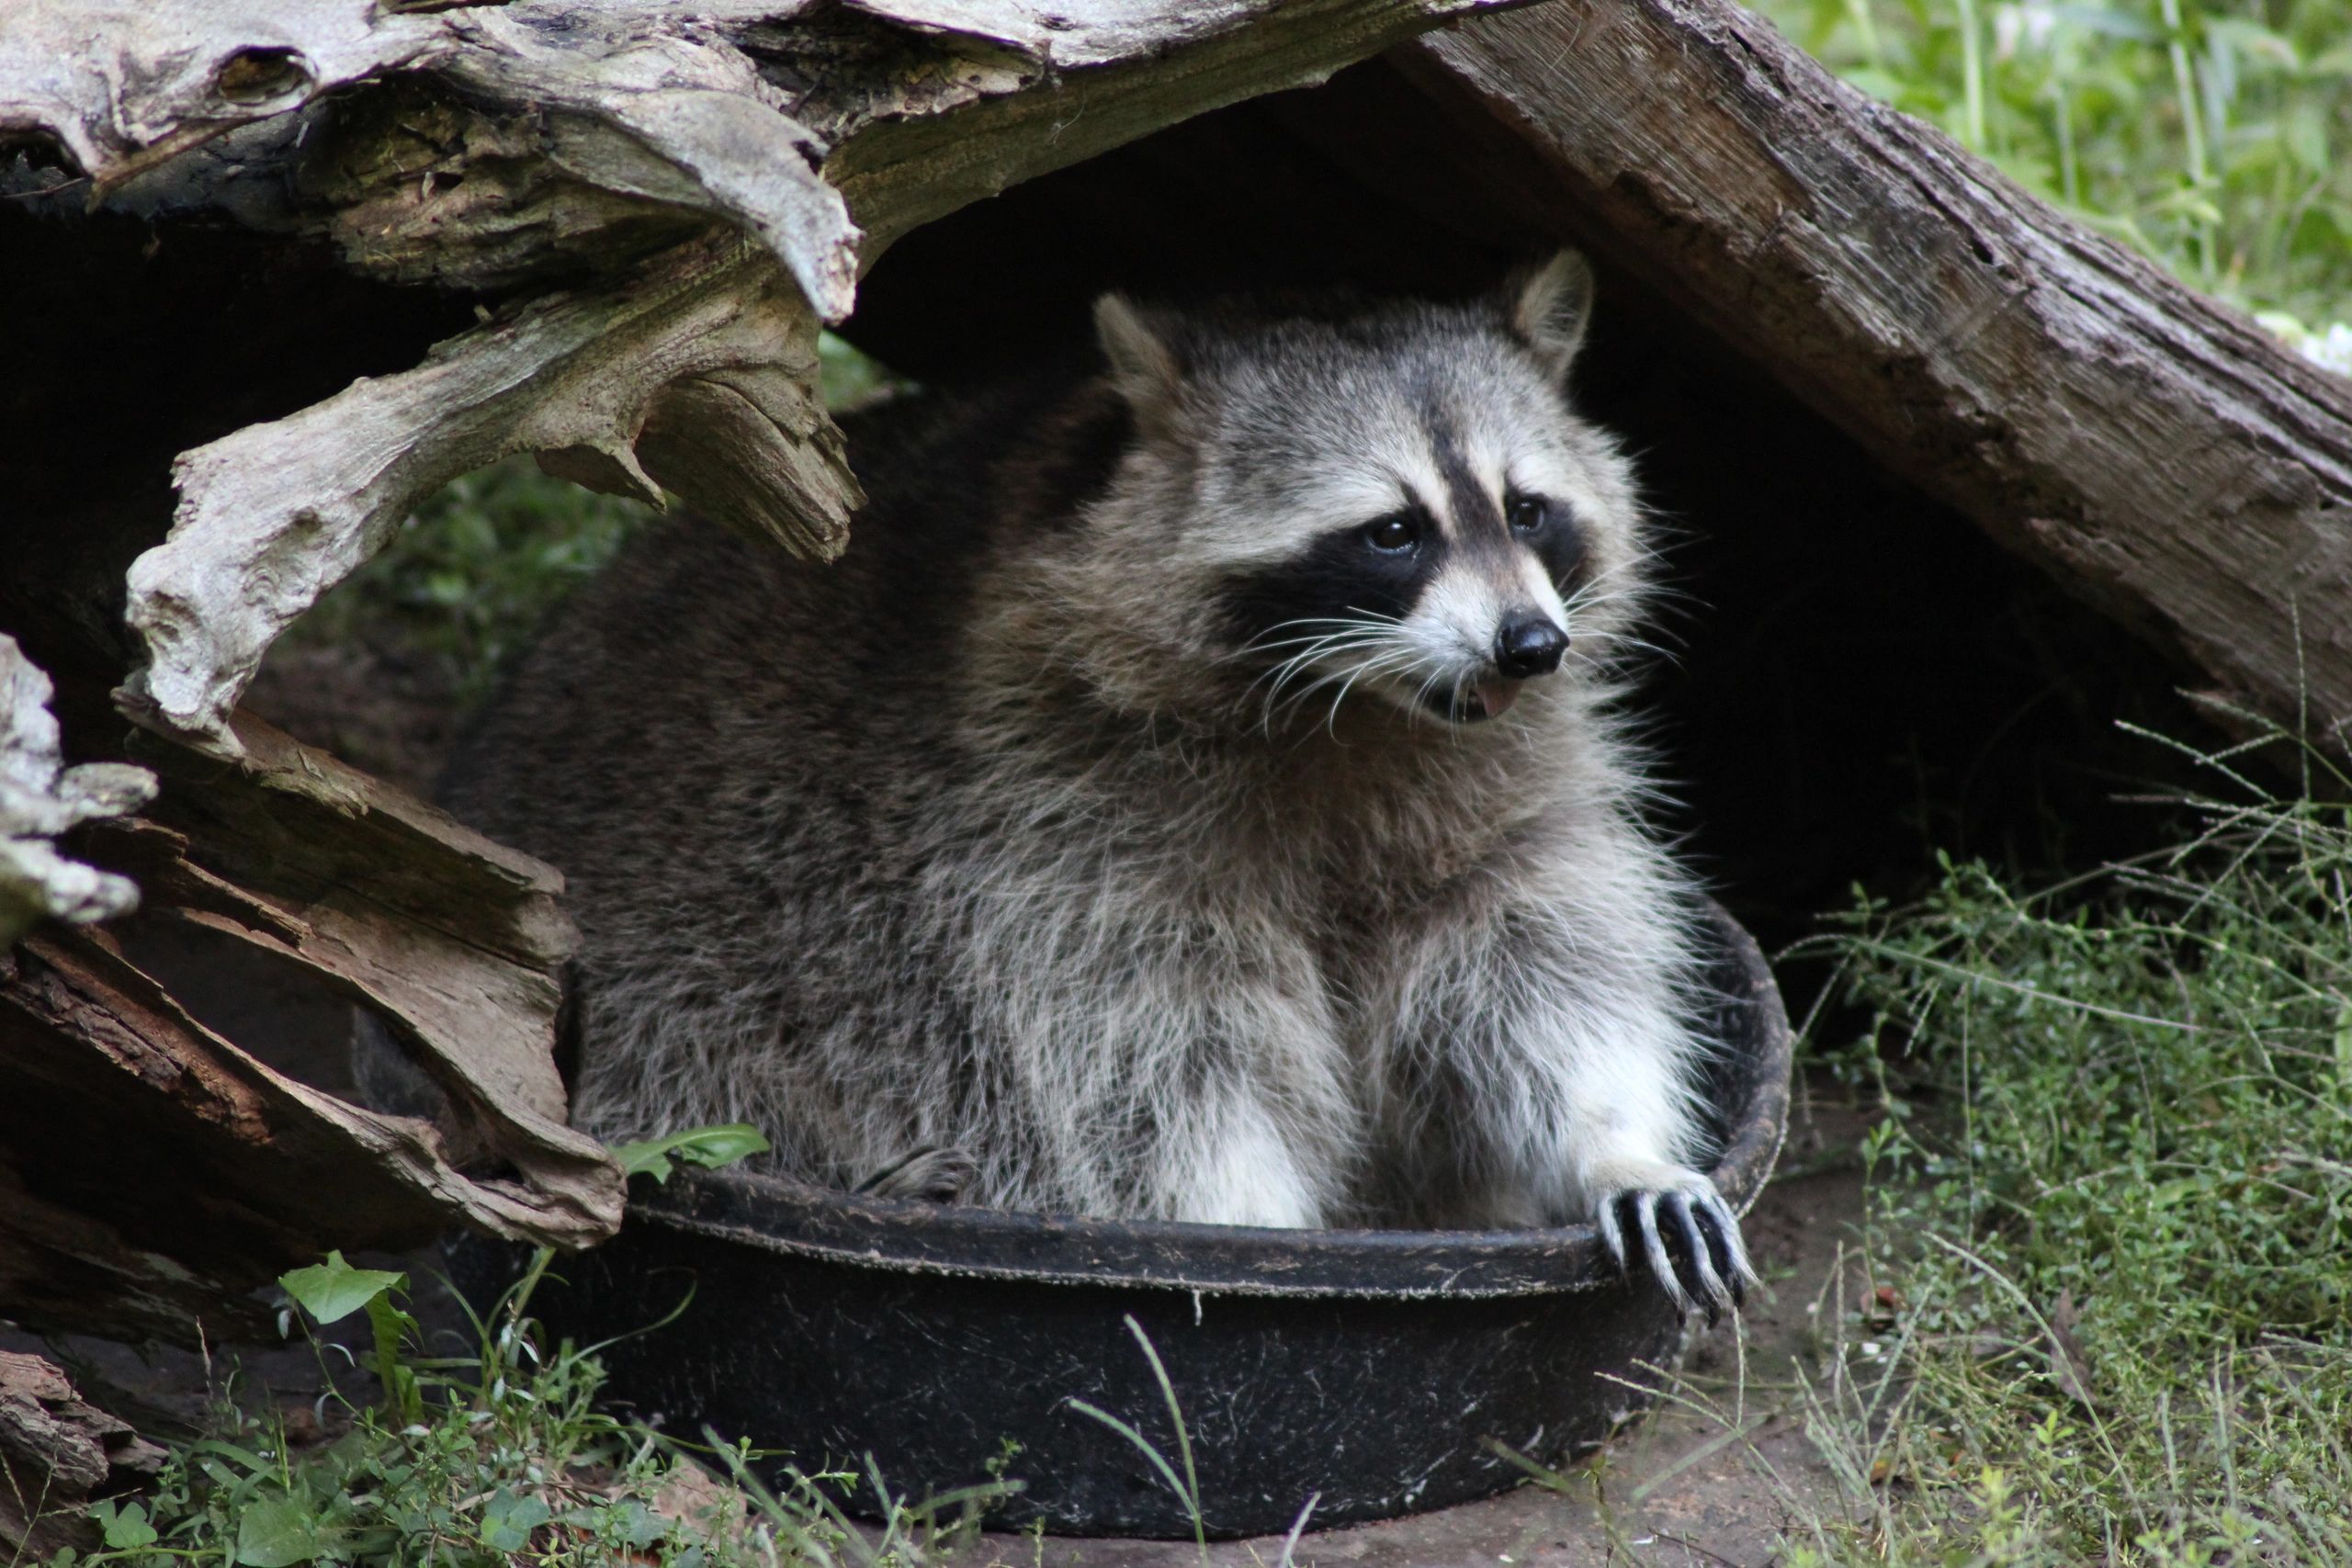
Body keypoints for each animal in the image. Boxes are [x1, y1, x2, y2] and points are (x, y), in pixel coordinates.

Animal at [440, 252, 1753, 1314]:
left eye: (1529, 511)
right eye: (1393, 532)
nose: (1531, 646)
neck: (1361, 715)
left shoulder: (1501, 785)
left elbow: (1537, 965)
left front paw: (1616, 1141)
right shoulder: (1054, 823)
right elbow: (1156, 1062)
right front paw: (1245, 1235)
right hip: (658, 954)